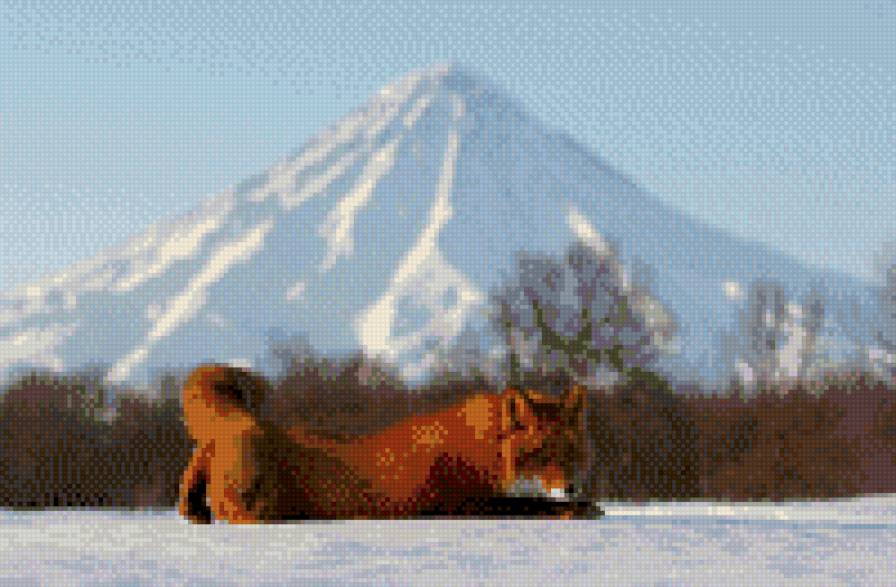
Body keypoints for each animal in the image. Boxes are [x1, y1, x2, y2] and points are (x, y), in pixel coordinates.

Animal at [178, 364, 594, 523]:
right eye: (541, 453)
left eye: (572, 453)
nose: (572, 485)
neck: (488, 448)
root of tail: (245, 421)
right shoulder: (464, 504)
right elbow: (533, 503)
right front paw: (575, 509)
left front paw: (582, 504)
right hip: (255, 491)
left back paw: (194, 509)